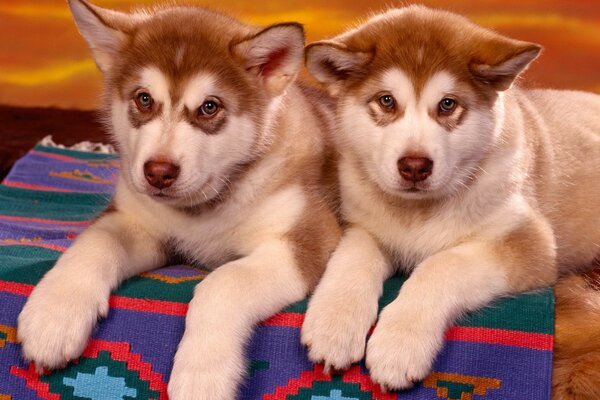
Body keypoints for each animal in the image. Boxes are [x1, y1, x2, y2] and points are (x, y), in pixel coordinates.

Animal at [16, 1, 340, 398]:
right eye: (143, 98)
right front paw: (53, 315)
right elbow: (95, 243)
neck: (202, 208)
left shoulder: (307, 238)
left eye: (209, 107)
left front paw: (202, 374)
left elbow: (222, 282)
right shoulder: (136, 221)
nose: (158, 172)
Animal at [302, 5, 600, 394]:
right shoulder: (363, 225)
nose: (414, 166)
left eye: (447, 105)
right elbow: (352, 258)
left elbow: (440, 266)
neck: (417, 212)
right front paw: (333, 323)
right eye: (386, 100)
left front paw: (398, 344)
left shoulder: (529, 243)